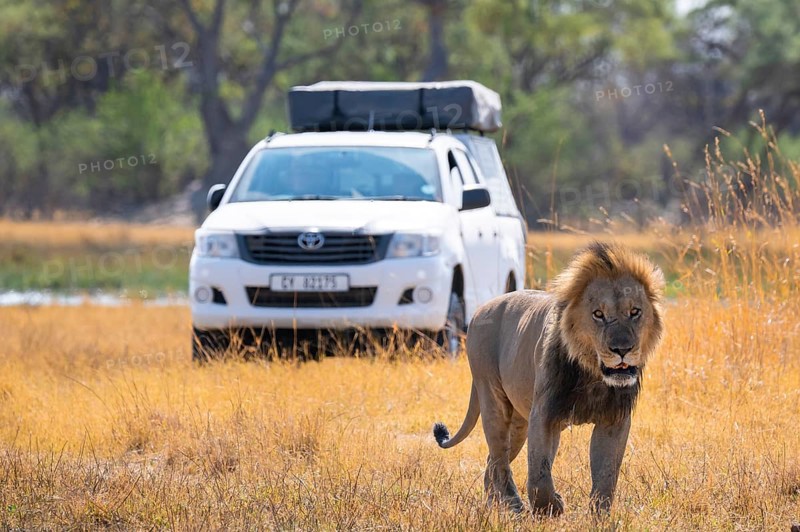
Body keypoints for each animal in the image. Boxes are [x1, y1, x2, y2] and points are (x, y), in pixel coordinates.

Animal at [433, 242, 665, 515]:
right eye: (598, 314)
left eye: (635, 312)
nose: (622, 349)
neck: (593, 375)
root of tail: (480, 309)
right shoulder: (544, 414)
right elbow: (539, 474)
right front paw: (551, 507)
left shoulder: (613, 420)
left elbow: (606, 476)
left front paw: (599, 516)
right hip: (493, 399)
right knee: (499, 459)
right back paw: (514, 506)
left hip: (519, 422)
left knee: (493, 462)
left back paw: (495, 506)